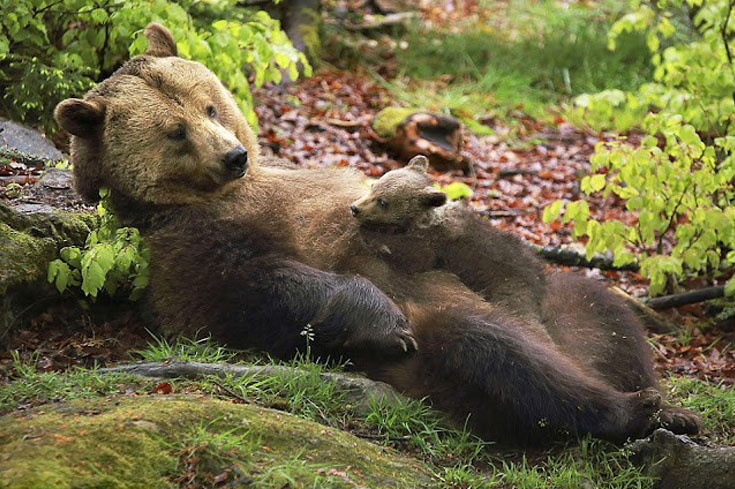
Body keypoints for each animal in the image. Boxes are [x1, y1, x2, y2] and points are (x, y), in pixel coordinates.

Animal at [54, 21, 700, 442]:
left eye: (210, 105)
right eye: (175, 132)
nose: (233, 156)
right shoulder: (188, 241)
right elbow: (256, 285)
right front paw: (383, 320)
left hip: (573, 315)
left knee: (603, 314)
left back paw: (667, 406)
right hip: (441, 348)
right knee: (499, 352)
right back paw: (628, 409)